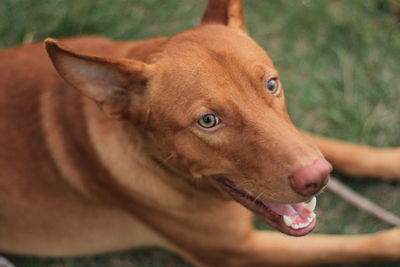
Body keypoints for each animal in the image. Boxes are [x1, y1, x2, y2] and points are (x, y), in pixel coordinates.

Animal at [0, 0, 400, 266]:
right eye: (208, 121)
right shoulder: (240, 253)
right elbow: (367, 244)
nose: (318, 178)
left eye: (272, 85)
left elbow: (350, 151)